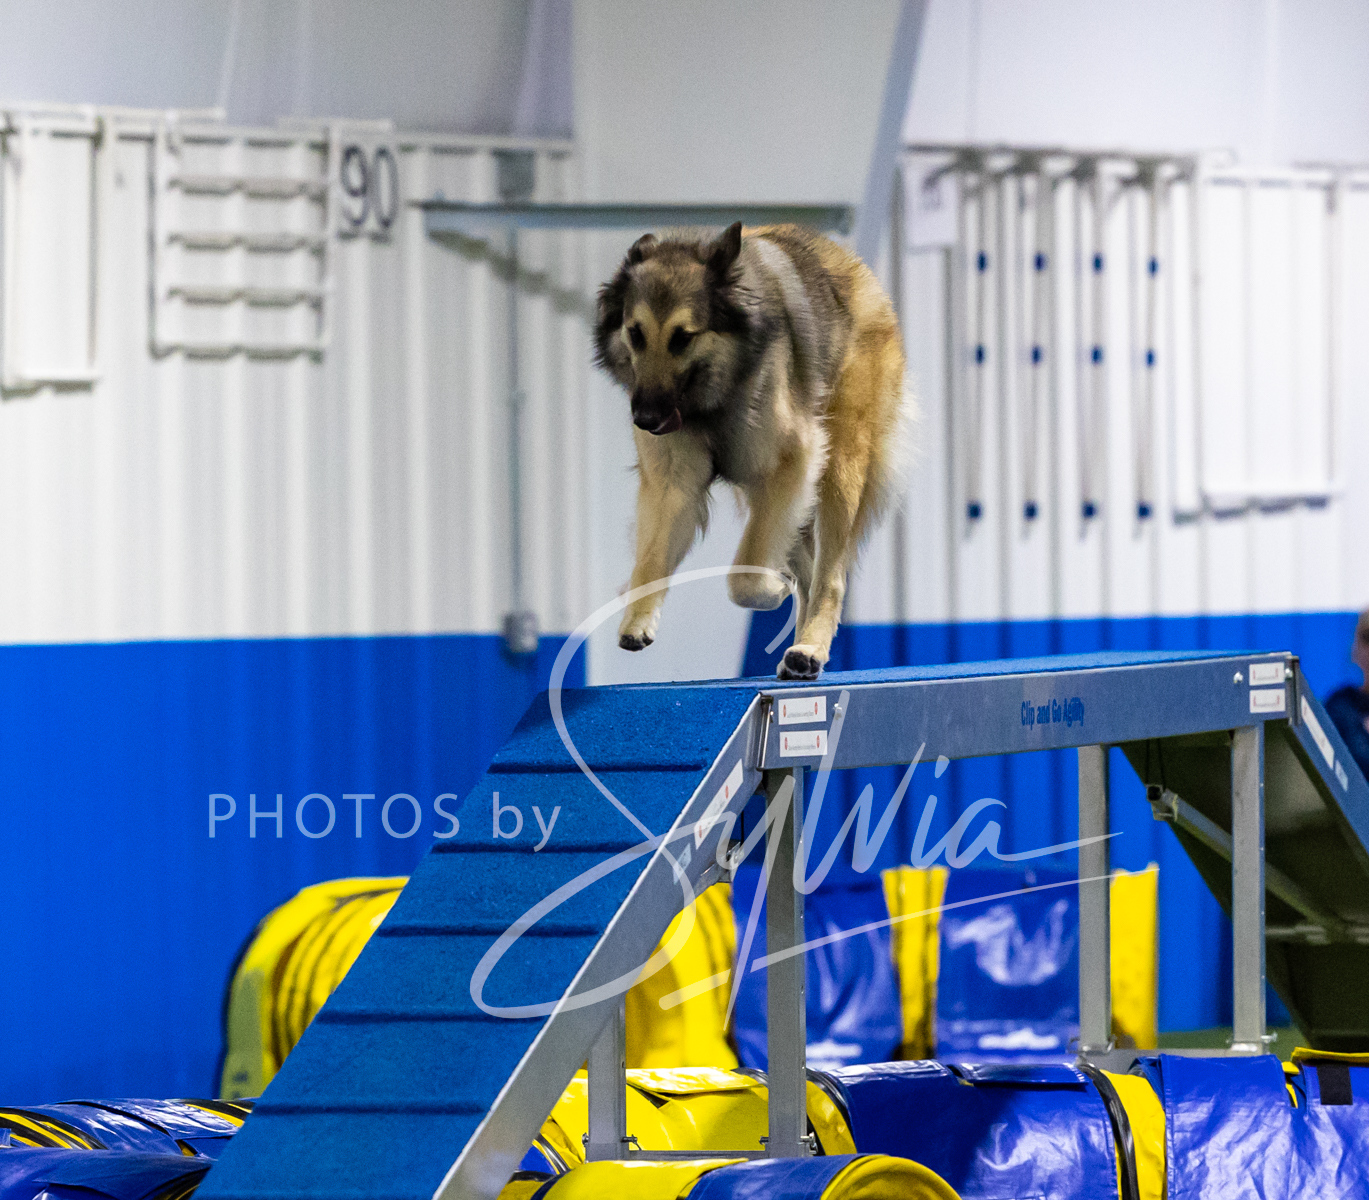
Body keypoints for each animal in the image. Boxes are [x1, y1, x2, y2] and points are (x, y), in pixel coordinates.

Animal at [594, 221, 909, 680]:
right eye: (635, 333)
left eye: (682, 338)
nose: (645, 419)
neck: (716, 397)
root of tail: (855, 267)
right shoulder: (674, 484)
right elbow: (651, 559)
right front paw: (638, 618)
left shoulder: (791, 464)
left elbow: (745, 576)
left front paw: (772, 589)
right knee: (809, 567)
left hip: (837, 470)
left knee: (829, 577)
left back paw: (810, 647)